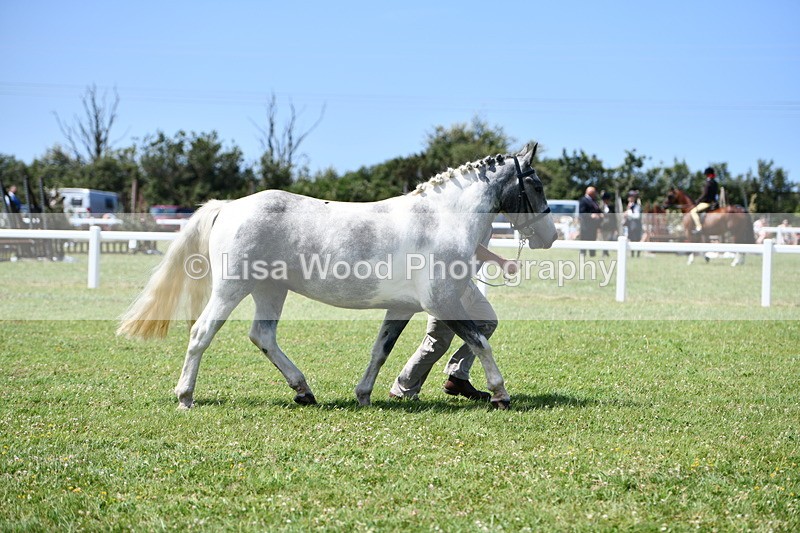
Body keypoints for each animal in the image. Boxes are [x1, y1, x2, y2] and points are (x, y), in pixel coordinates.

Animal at [117, 144, 558, 410]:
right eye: (535, 184)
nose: (550, 236)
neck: (440, 220)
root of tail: (228, 206)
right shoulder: (442, 302)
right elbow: (480, 341)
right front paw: (500, 393)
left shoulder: (401, 308)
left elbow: (381, 351)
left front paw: (364, 395)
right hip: (232, 288)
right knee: (201, 333)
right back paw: (186, 396)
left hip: (270, 289)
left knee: (263, 336)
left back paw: (303, 390)